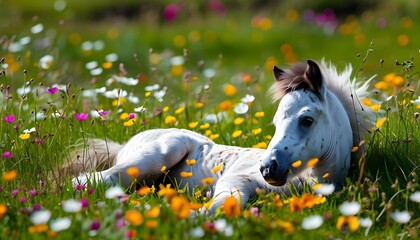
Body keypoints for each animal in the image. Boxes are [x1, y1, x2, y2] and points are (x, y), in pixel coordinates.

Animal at [68, 59, 374, 212]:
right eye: (275, 123)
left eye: (307, 120)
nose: (267, 168)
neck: (308, 180)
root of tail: (125, 144)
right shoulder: (237, 179)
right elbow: (223, 205)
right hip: (160, 154)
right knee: (93, 179)